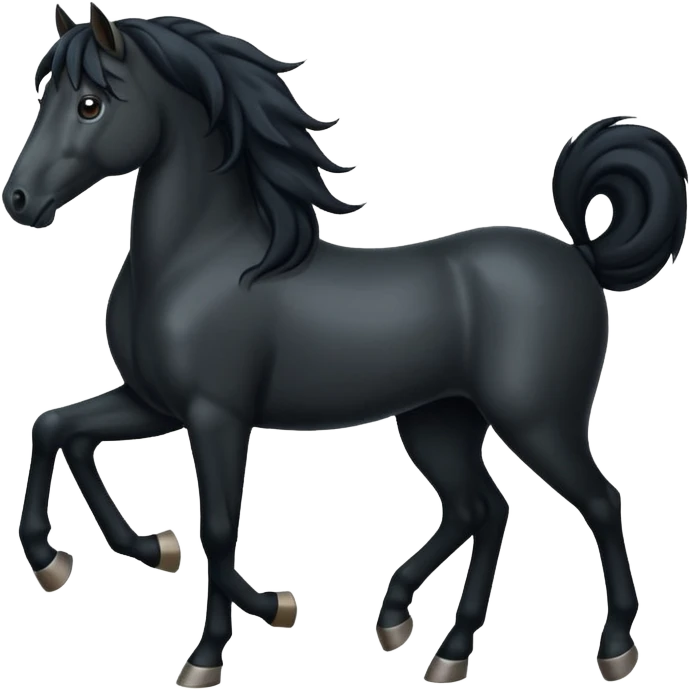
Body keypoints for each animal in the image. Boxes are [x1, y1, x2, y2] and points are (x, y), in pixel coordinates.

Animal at [5, 3, 688, 687]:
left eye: (89, 104)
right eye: (46, 97)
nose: (18, 200)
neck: (195, 262)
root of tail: (583, 256)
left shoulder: (216, 415)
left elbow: (219, 531)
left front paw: (241, 630)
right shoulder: (154, 403)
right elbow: (58, 430)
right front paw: (90, 557)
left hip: (537, 420)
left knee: (597, 501)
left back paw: (612, 648)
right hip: (439, 420)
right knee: (482, 510)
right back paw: (428, 638)